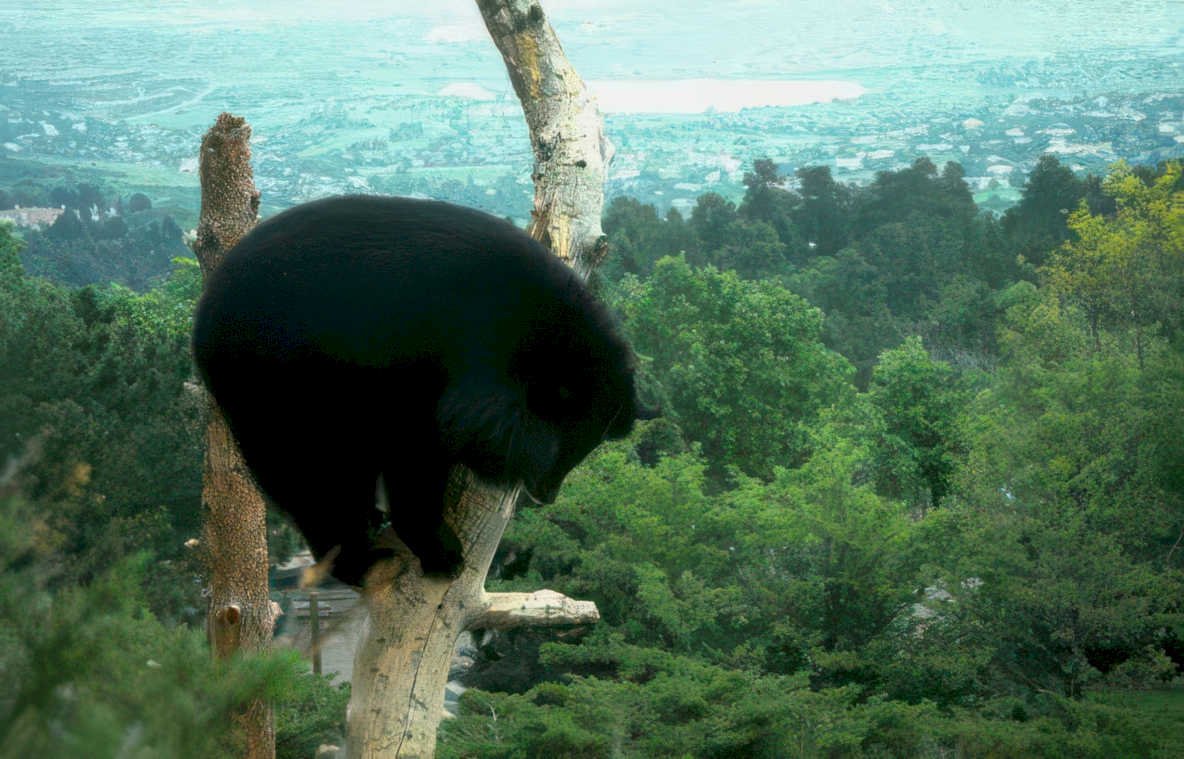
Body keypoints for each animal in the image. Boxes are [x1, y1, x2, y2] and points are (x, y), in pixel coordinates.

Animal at [192, 195, 650, 585]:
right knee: (310, 476)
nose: (545, 496)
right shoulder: (452, 363)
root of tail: (205, 311)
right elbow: (424, 455)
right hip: (277, 388)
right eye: (565, 445)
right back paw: (357, 560)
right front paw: (444, 553)